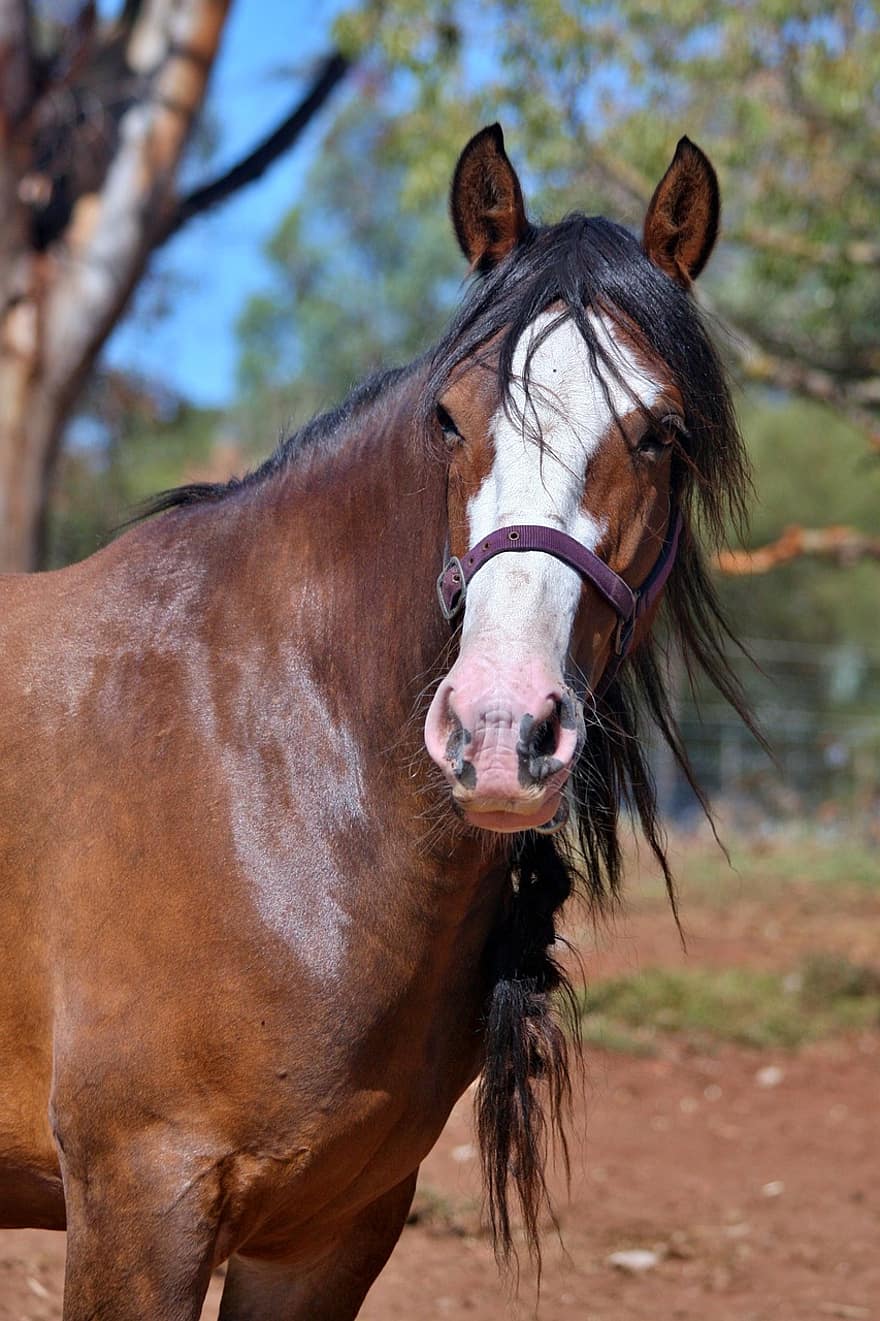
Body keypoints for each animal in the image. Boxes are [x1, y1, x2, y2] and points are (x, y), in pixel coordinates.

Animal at [0, 126, 755, 1321]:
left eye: (662, 432)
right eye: (448, 418)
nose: (499, 729)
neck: (263, 765)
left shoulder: (326, 1231)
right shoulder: (139, 1202)